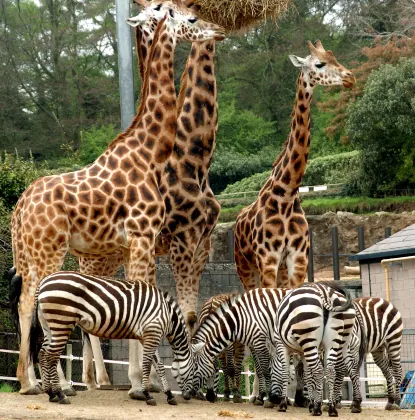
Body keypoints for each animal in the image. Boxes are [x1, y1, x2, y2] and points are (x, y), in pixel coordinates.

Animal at [28, 270, 195, 406]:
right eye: (195, 370)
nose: (191, 396)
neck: (168, 314)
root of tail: (43, 282)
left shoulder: (148, 335)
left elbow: (159, 365)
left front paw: (169, 395)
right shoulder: (152, 332)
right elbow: (147, 364)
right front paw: (148, 394)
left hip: (49, 325)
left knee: (43, 354)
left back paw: (50, 393)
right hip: (61, 321)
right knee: (51, 356)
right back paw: (60, 394)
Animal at [79, 0, 226, 396]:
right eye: (184, 15)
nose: (220, 30)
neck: (192, 157)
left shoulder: (200, 242)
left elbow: (184, 311)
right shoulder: (178, 241)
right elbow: (175, 310)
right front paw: (166, 379)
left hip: (110, 256)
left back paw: (89, 380)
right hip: (99, 257)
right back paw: (98, 379)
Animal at [232, 41, 356, 292]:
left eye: (335, 58)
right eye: (319, 64)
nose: (350, 77)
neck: (286, 195)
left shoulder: (298, 259)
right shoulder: (267, 260)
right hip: (245, 267)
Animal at [270, 282, 358, 416]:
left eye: (270, 371)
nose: (272, 399)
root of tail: (324, 293)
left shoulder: (282, 345)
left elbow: (285, 372)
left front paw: (283, 404)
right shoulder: (302, 352)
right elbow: (307, 375)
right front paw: (311, 403)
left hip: (309, 338)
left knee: (319, 370)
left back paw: (318, 408)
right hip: (335, 341)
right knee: (334, 370)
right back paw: (333, 408)